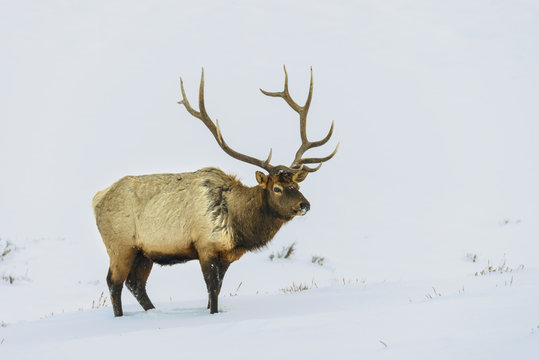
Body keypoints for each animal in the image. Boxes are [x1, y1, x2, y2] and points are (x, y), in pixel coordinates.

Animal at [92, 67, 338, 316]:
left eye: (296, 186)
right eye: (277, 188)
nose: (304, 205)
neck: (239, 226)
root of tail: (97, 198)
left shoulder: (226, 255)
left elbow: (216, 291)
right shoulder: (205, 247)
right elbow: (212, 289)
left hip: (144, 252)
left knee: (136, 284)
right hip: (120, 245)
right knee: (114, 283)